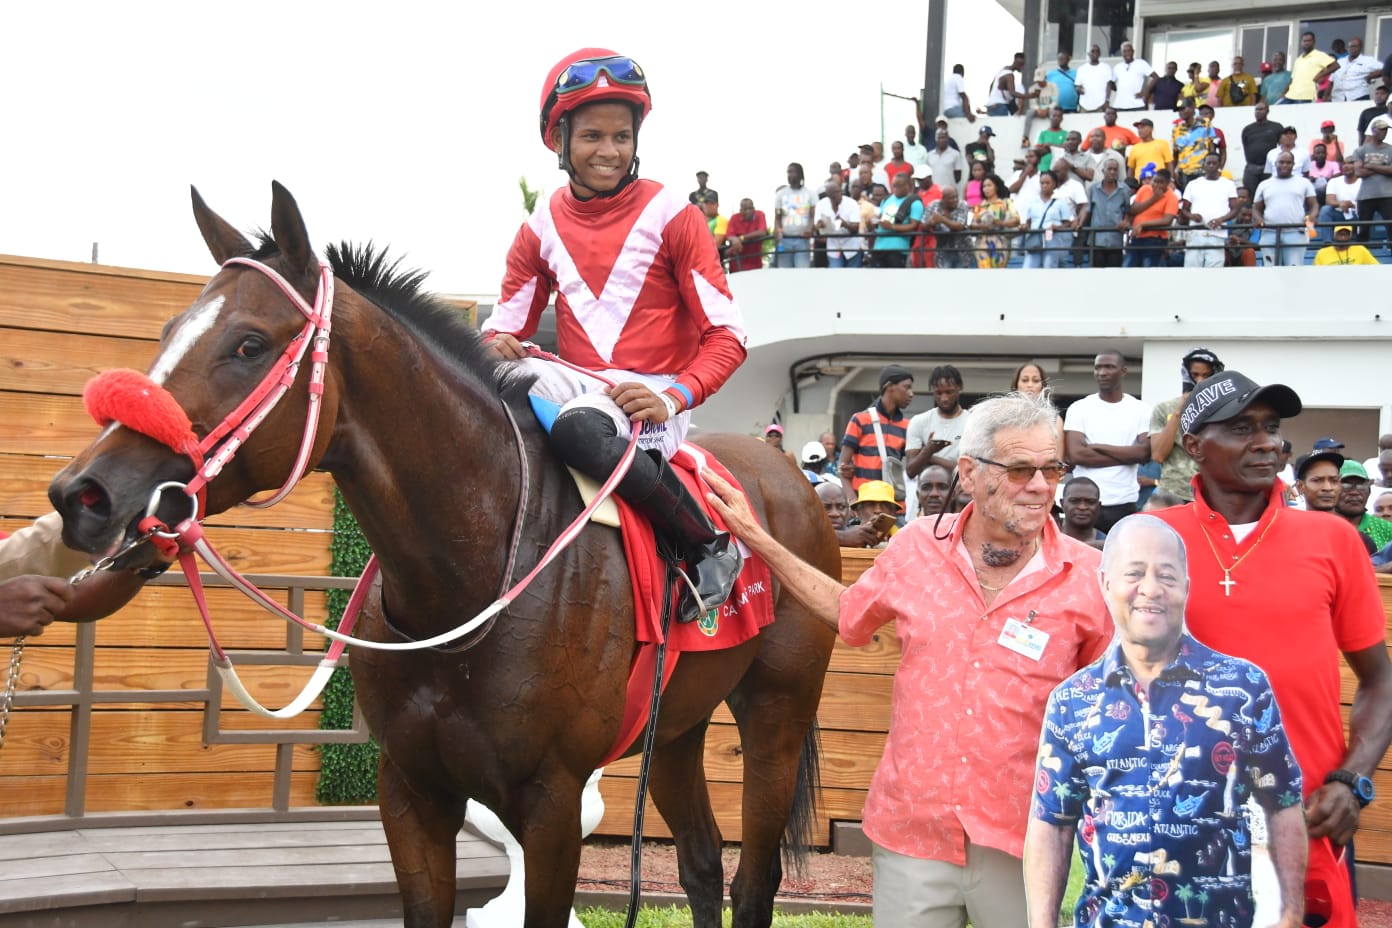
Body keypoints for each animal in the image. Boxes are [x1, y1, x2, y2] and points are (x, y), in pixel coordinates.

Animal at [48, 182, 840, 928]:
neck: (468, 578)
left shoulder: (552, 805)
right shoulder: (410, 790)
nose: (84, 493)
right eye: (168, 332)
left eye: (249, 343)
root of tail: (783, 472)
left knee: (753, 880)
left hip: (776, 709)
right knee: (702, 863)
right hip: (674, 726)